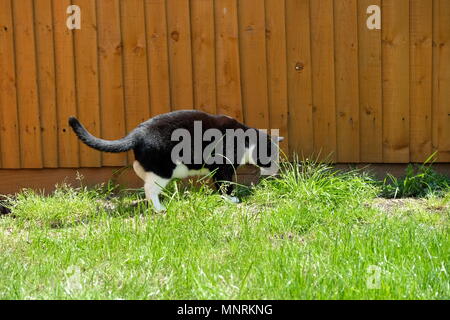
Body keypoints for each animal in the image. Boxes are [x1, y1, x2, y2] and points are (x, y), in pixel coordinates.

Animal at [68, 110, 284, 212]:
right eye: (271, 155)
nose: (276, 168)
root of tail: (136, 134)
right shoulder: (223, 166)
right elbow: (225, 184)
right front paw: (231, 199)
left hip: (150, 166)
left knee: (142, 176)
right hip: (164, 170)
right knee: (150, 188)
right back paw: (159, 209)